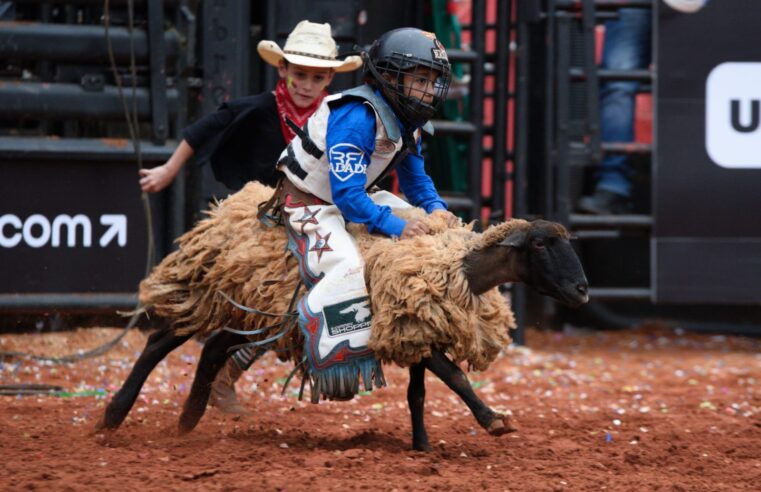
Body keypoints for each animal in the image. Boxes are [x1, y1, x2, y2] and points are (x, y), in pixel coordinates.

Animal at [96, 182, 588, 450]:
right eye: (540, 244)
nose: (582, 290)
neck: (455, 268)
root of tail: (223, 210)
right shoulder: (402, 330)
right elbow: (457, 377)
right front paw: (493, 420)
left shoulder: (415, 331)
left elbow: (418, 395)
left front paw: (422, 447)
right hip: (208, 295)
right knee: (160, 342)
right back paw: (113, 416)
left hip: (256, 314)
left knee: (213, 347)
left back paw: (189, 418)